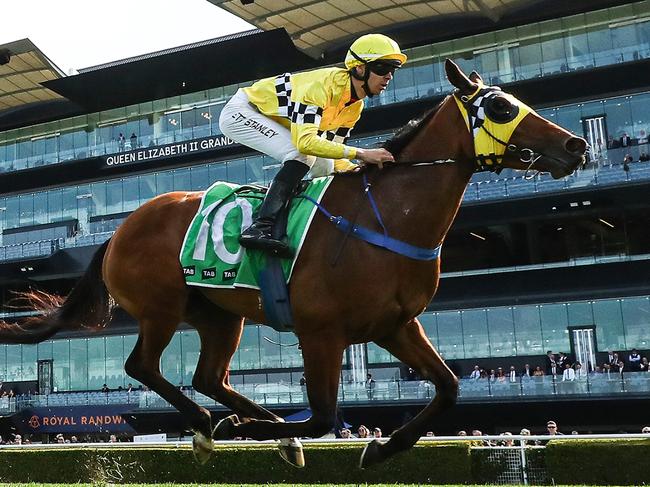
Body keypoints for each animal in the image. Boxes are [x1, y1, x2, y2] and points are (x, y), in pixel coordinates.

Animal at [0, 61, 584, 468]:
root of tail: (120, 229)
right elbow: (324, 415)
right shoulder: (321, 330)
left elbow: (449, 388)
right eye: (502, 108)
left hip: (219, 314)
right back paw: (214, 425)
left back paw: (257, 424)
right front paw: (255, 432)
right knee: (143, 368)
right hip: (161, 307)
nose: (577, 144)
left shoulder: (396, 325)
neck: (386, 216)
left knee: (208, 376)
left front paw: (380, 448)